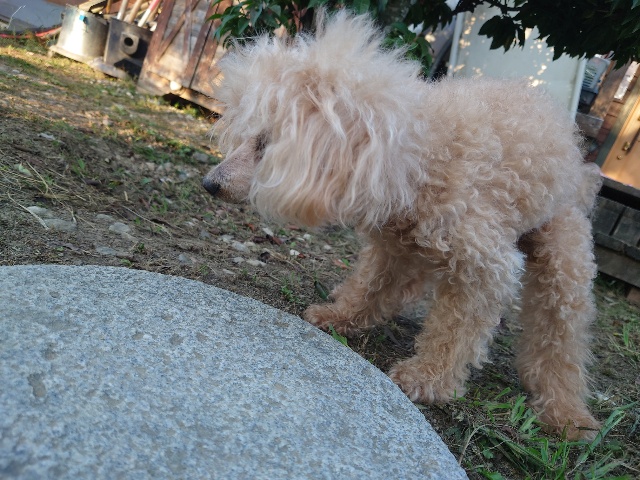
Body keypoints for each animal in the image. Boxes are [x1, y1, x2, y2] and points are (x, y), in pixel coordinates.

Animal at [202, 11, 603, 440]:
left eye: (265, 144)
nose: (210, 183)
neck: (424, 158)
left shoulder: (483, 267)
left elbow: (456, 330)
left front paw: (427, 378)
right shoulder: (393, 246)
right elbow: (372, 285)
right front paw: (340, 316)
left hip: (561, 251)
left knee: (560, 335)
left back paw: (567, 413)